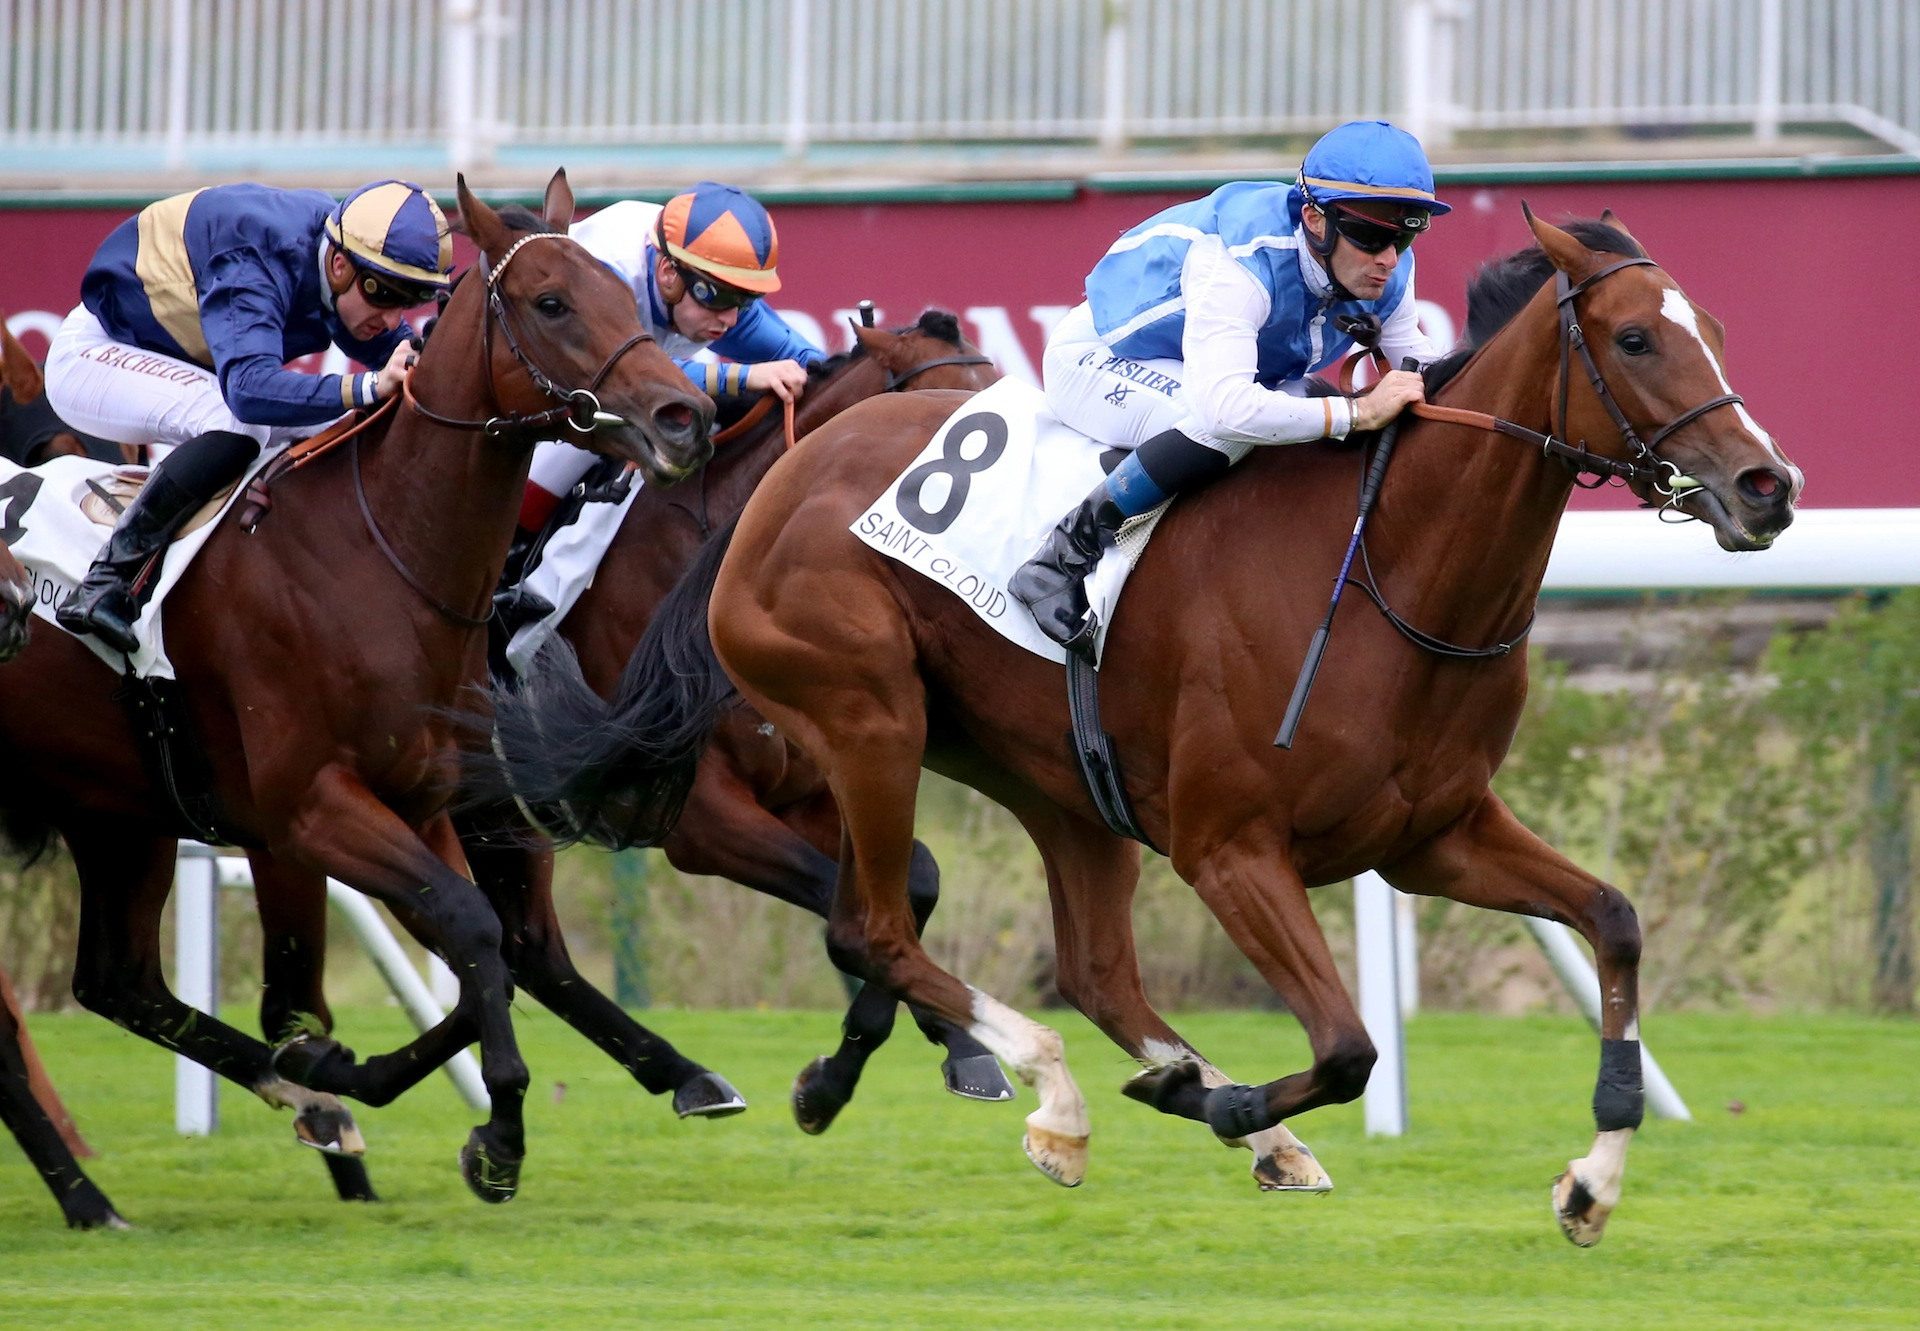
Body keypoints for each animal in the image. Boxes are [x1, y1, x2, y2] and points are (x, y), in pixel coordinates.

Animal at [0, 169, 714, 1221]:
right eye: (551, 303)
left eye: (629, 298)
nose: (682, 416)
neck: (382, 558)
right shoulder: (309, 808)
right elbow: (471, 929)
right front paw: (496, 1135)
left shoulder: (421, 798)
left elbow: (488, 949)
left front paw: (347, 1073)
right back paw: (91, 1194)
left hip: (114, 811)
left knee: (119, 980)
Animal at [480, 210, 1797, 1244]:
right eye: (1636, 338)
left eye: (1719, 332)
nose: (1766, 486)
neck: (1390, 569)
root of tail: (775, 490)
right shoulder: (1230, 847)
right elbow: (1347, 1046)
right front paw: (1222, 1104)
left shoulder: (1436, 836)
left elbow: (1614, 921)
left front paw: (1592, 1180)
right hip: (866, 717)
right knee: (874, 923)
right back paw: (1061, 1094)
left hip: (1060, 782)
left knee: (1086, 966)